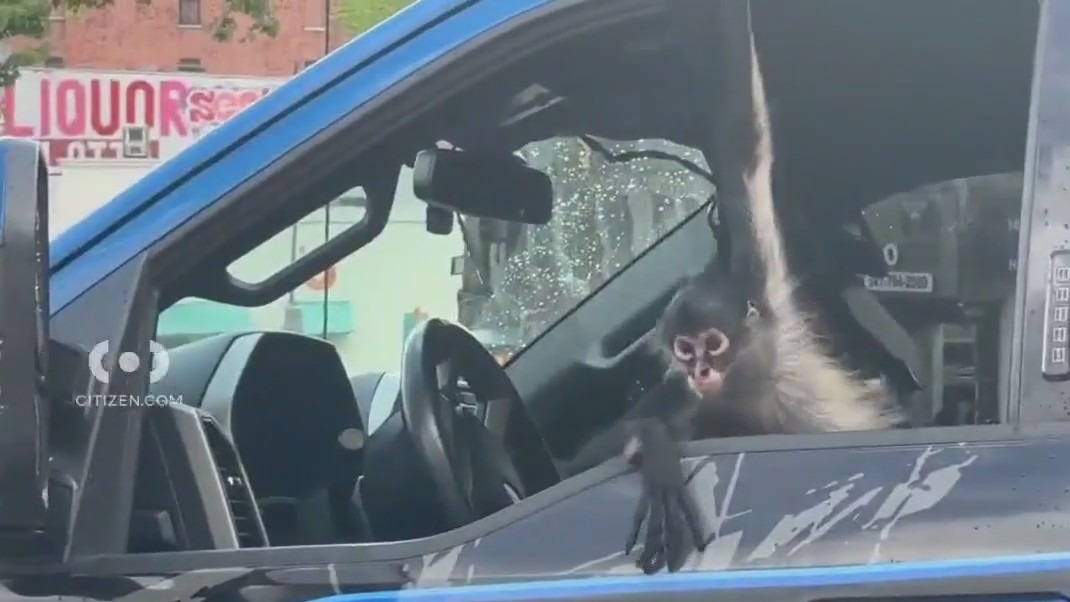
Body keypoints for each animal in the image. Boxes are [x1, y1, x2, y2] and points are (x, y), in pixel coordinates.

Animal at [563, 6, 905, 576]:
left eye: (713, 344)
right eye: (684, 349)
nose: (701, 370)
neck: (747, 378)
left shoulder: (760, 288)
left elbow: (745, 148)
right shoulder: (691, 390)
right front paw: (653, 446)